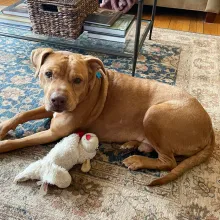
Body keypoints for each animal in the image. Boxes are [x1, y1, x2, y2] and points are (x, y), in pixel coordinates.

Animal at [0, 47, 215, 186]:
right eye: (48, 74)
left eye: (77, 80)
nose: (58, 100)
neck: (89, 89)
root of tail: (210, 128)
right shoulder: (48, 106)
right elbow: (23, 113)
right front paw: (4, 127)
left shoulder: (54, 132)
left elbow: (20, 141)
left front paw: (4, 145)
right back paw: (133, 144)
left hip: (155, 114)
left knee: (169, 162)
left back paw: (137, 160)